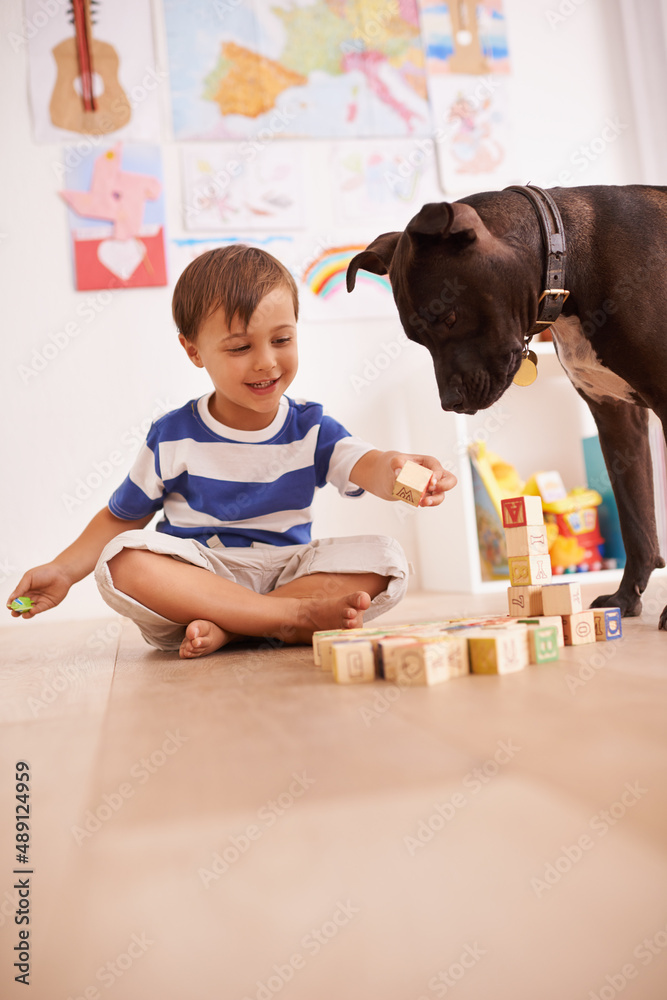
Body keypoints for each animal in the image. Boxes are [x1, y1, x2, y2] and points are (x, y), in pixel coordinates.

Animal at [348, 184, 667, 628]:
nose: (450, 403)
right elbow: (636, 518)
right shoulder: (617, 417)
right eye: (417, 339)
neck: (567, 259)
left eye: (448, 317)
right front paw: (625, 597)